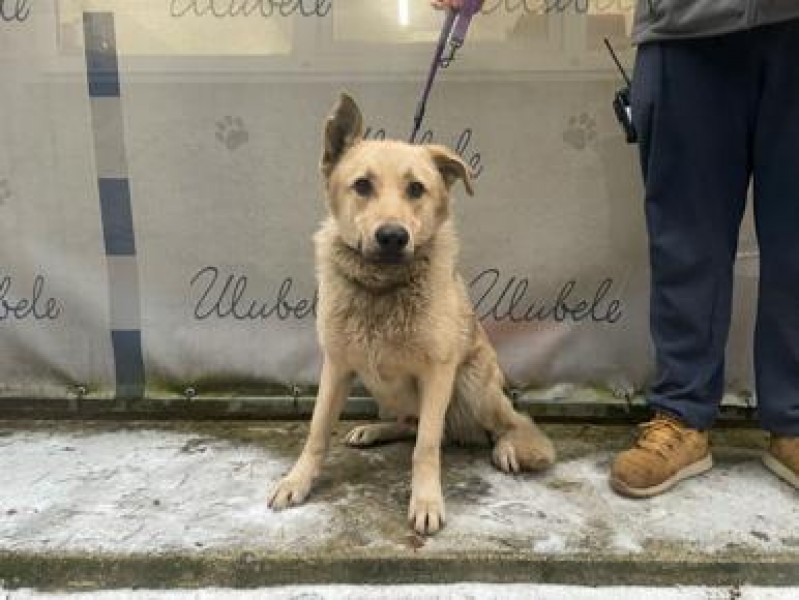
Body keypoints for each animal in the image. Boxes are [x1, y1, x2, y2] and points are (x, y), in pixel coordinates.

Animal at [268, 94, 555, 535]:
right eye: (362, 185)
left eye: (416, 188)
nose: (392, 237)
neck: (382, 288)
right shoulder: (337, 366)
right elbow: (317, 431)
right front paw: (297, 481)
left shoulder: (438, 372)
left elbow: (427, 447)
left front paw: (426, 501)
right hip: (381, 388)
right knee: (410, 423)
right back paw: (373, 430)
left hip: (472, 385)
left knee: (504, 423)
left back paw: (510, 446)